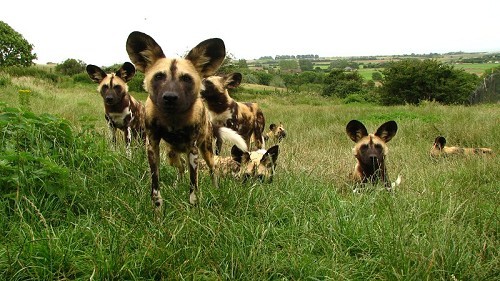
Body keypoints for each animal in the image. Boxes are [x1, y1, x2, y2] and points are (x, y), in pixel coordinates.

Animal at [126, 31, 247, 206]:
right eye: (159, 76)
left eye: (186, 79)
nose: (170, 97)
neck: (172, 118)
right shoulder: (152, 146)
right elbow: (155, 188)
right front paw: (158, 210)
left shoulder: (193, 149)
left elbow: (193, 188)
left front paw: (194, 208)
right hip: (171, 153)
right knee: (181, 167)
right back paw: (177, 185)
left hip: (207, 152)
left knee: (212, 170)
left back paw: (216, 190)